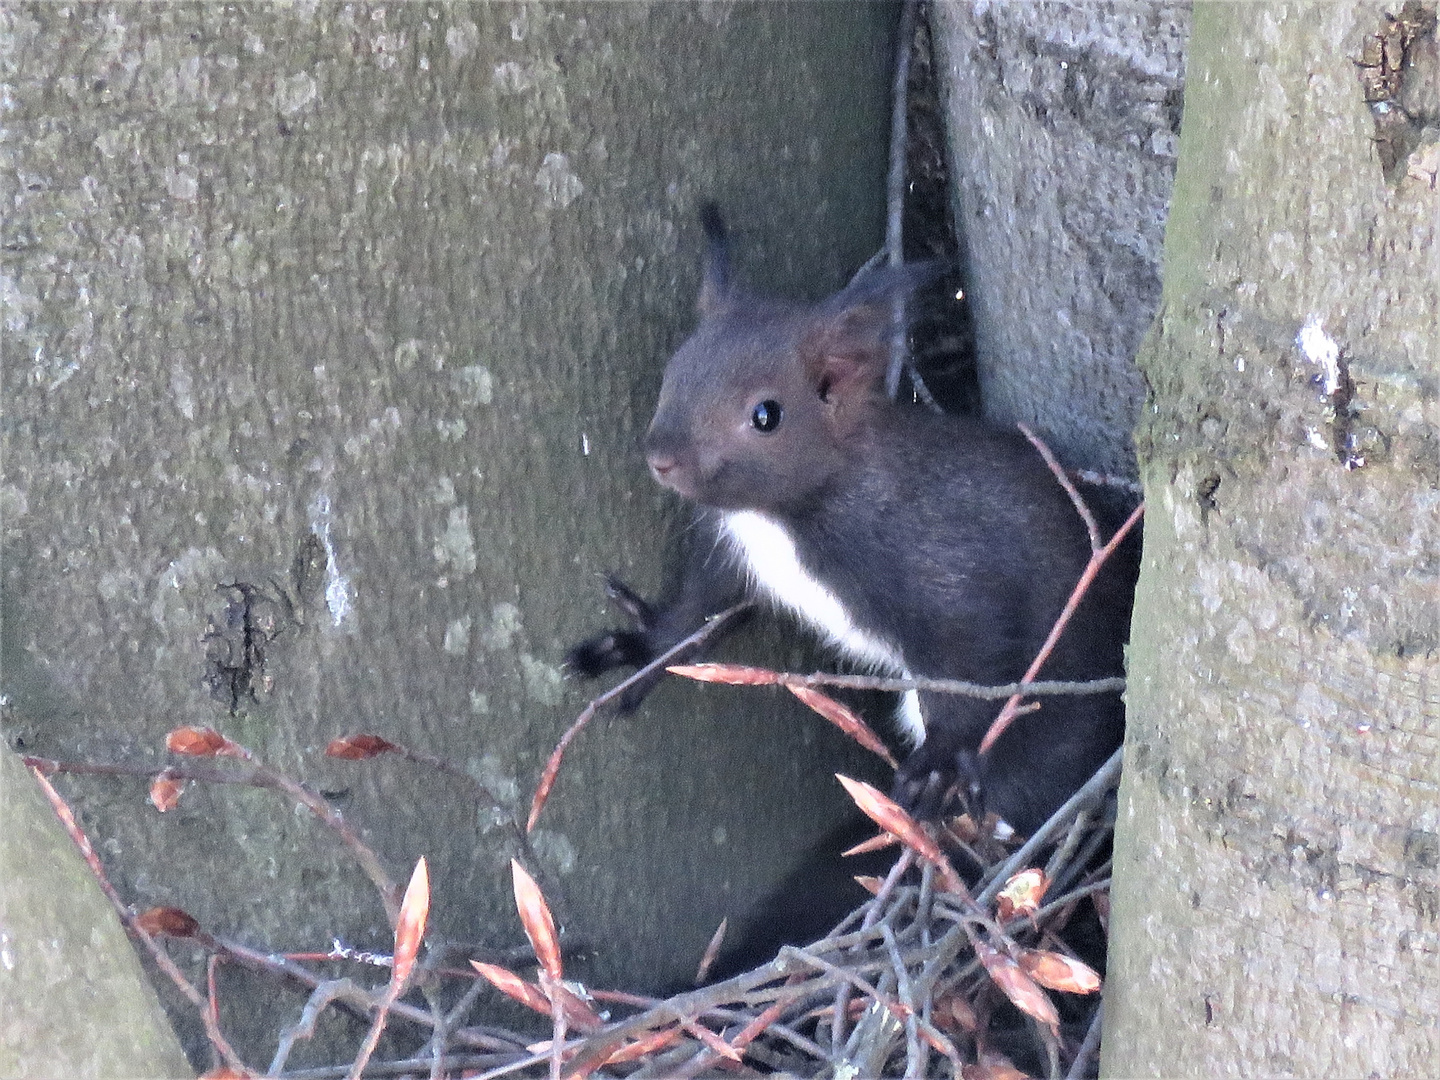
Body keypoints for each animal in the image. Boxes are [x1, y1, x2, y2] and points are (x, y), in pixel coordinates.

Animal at [564, 204, 1134, 835]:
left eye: (766, 415)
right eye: (673, 371)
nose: (661, 457)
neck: (784, 515)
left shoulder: (941, 563)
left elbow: (970, 655)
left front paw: (937, 762)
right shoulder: (733, 551)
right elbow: (696, 612)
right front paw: (639, 648)